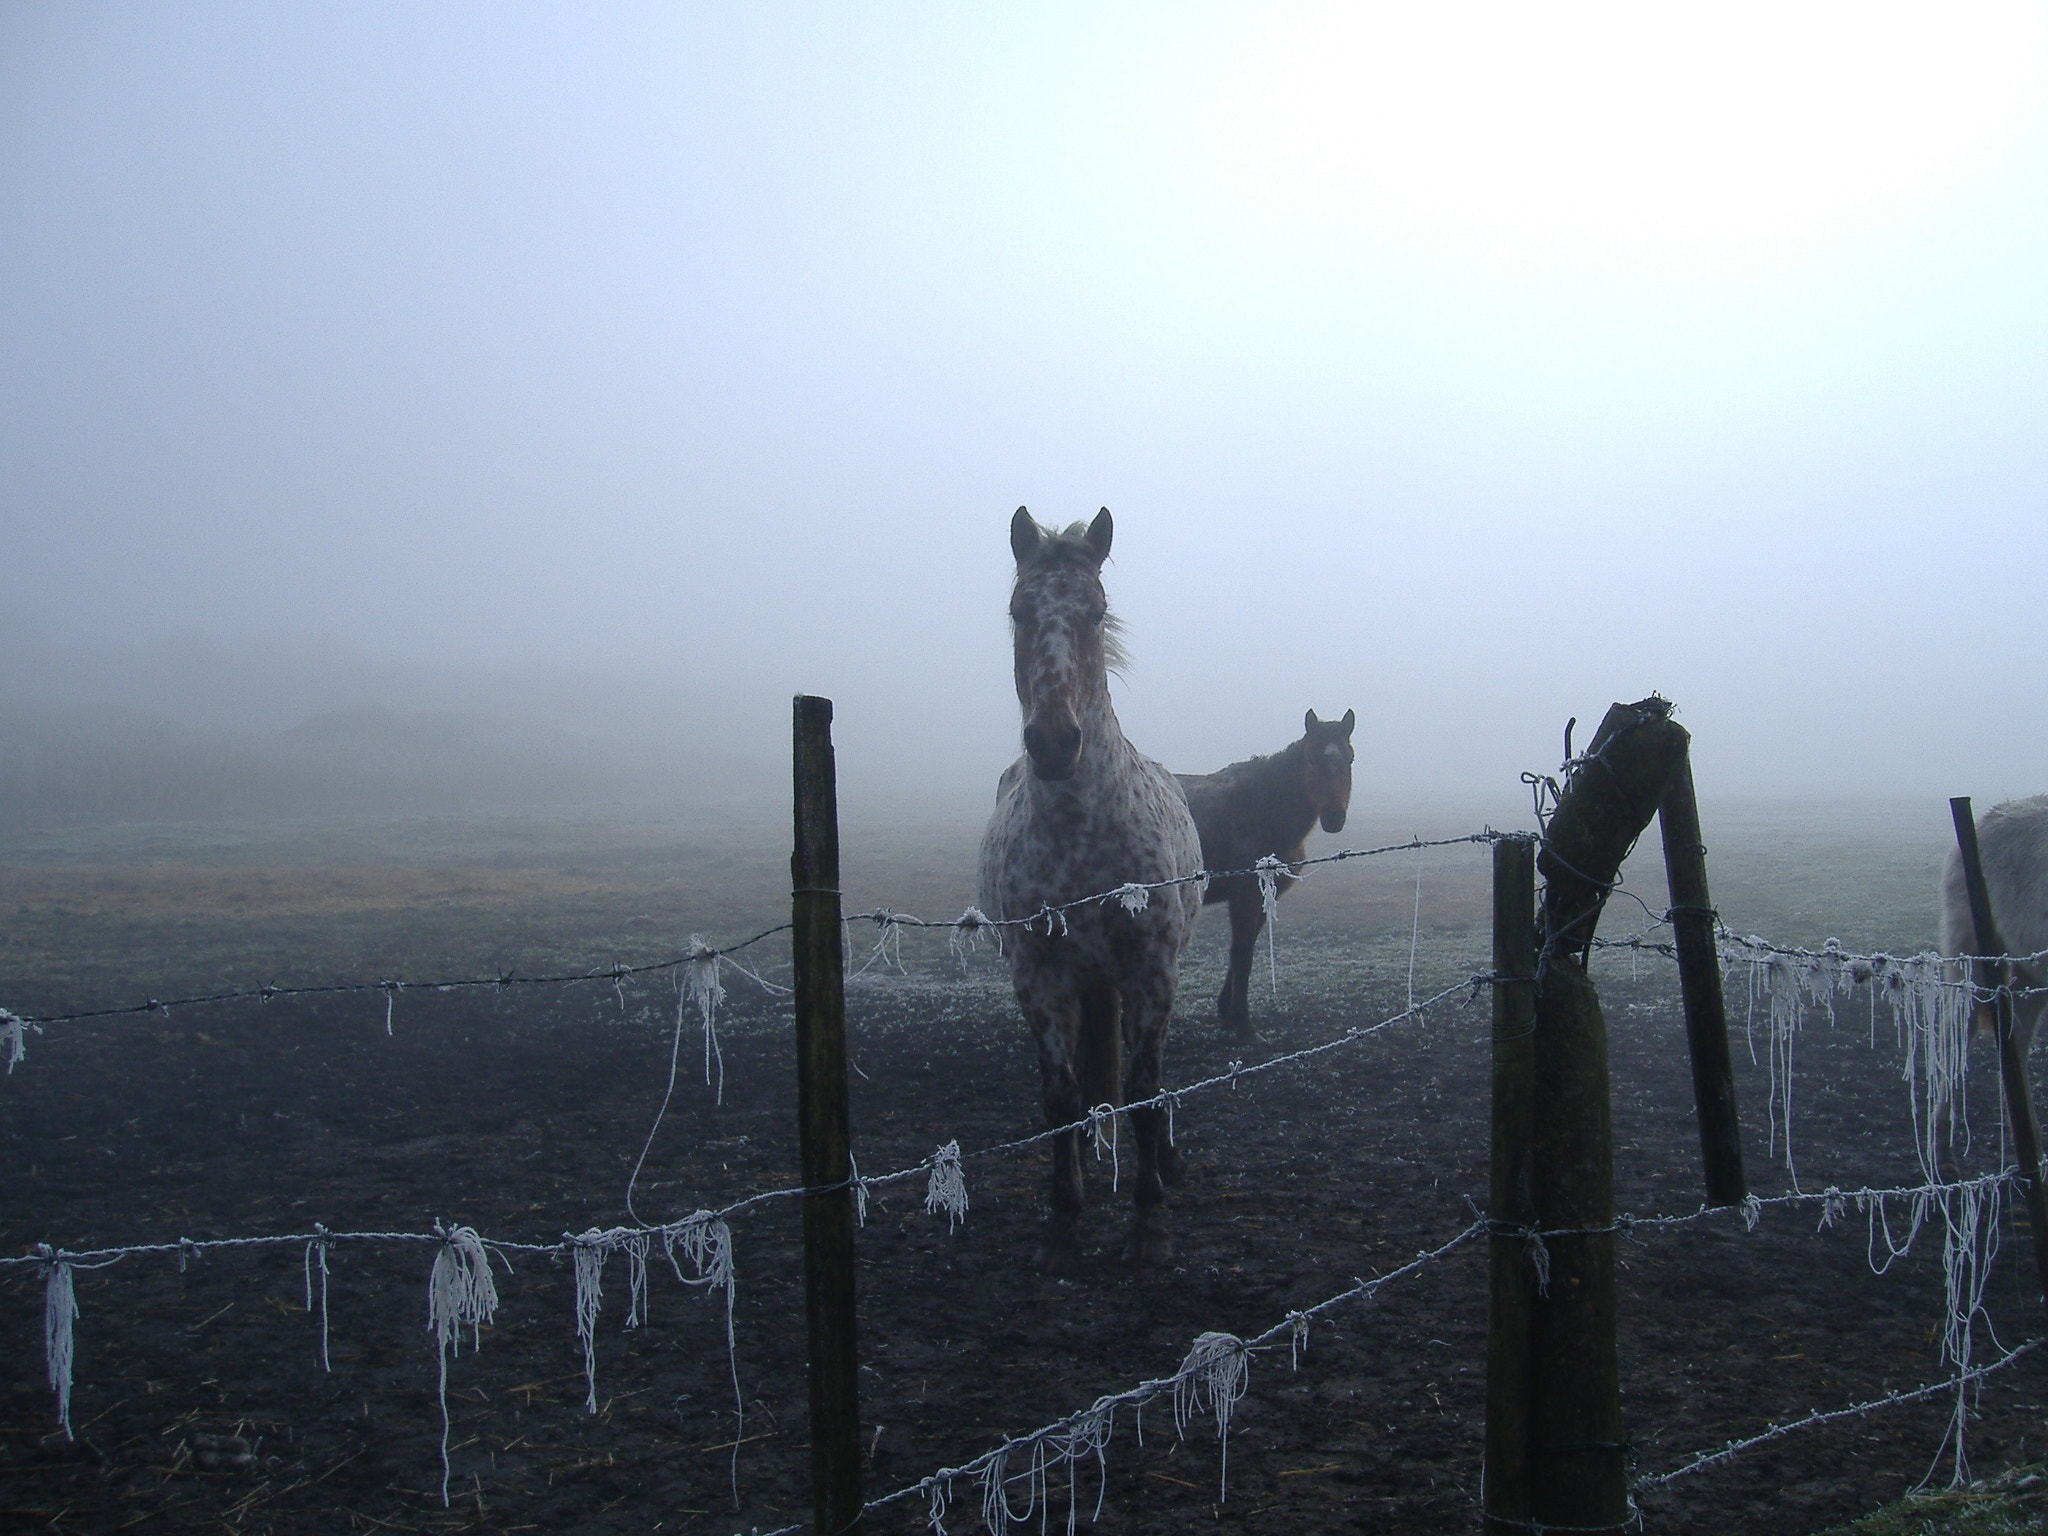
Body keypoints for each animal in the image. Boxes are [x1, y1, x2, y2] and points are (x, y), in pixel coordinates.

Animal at [1179, 708, 1351, 1048]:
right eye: (1312, 759)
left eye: (1350, 759)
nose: (1334, 818)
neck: (1262, 808)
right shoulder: (1244, 897)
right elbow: (1242, 955)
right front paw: (1245, 1026)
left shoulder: (1261, 896)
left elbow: (1242, 953)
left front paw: (1228, 1015)